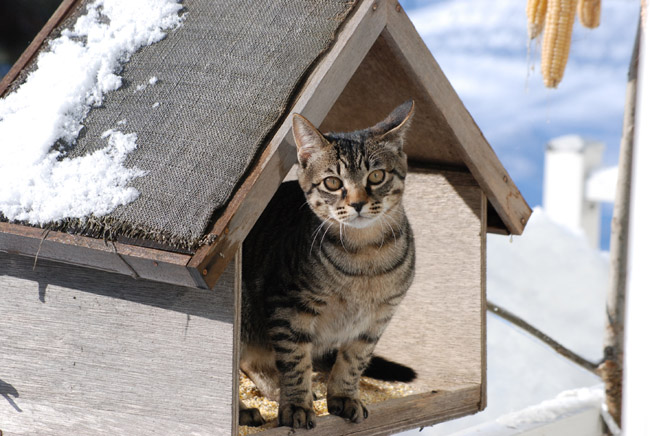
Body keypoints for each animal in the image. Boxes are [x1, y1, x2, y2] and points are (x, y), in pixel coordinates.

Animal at [238, 99, 416, 430]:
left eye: (376, 176)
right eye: (333, 183)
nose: (357, 203)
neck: (365, 256)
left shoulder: (376, 320)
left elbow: (353, 362)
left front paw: (343, 398)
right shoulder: (289, 308)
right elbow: (295, 362)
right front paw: (296, 406)